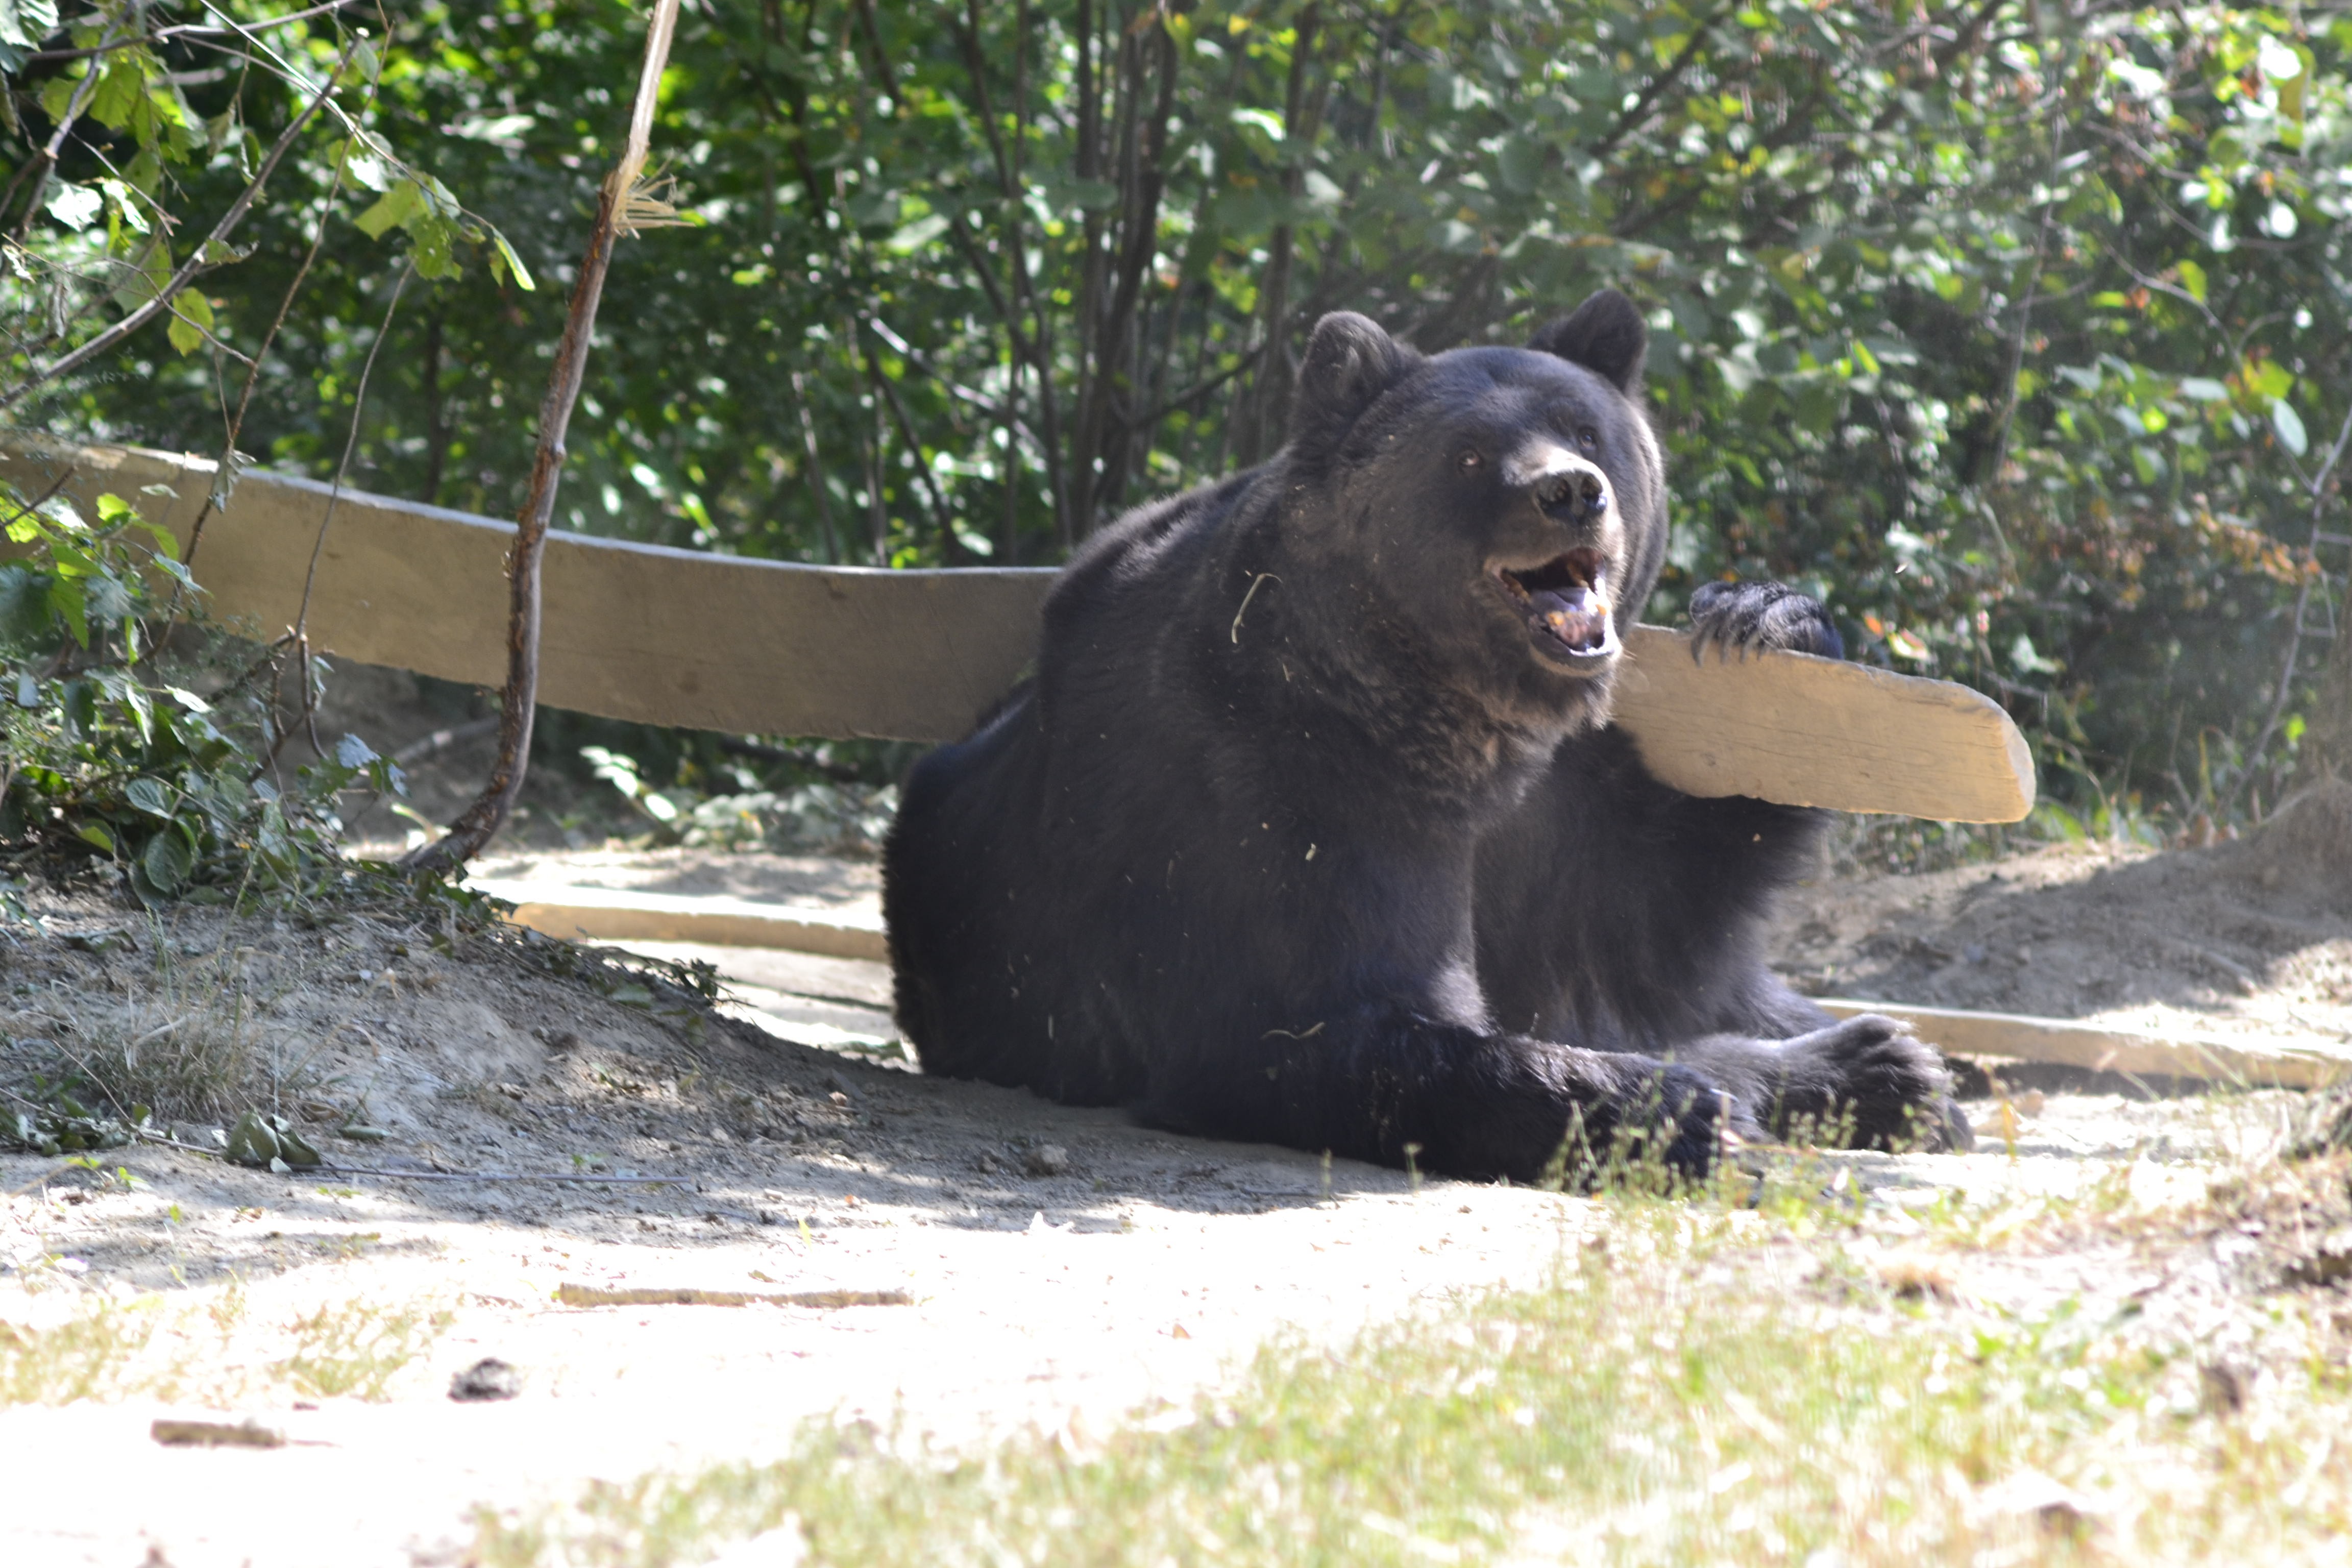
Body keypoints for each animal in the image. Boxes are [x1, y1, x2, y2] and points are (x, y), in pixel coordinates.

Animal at [884, 291, 1966, 1175]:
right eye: (1471, 453)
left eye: (1584, 426)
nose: (1569, 489)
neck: (1465, 711)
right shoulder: (1284, 786)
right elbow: (1321, 1026)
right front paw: (1661, 1105)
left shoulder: (1565, 805)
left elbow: (1660, 911)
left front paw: (1766, 621)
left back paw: (1891, 1068)